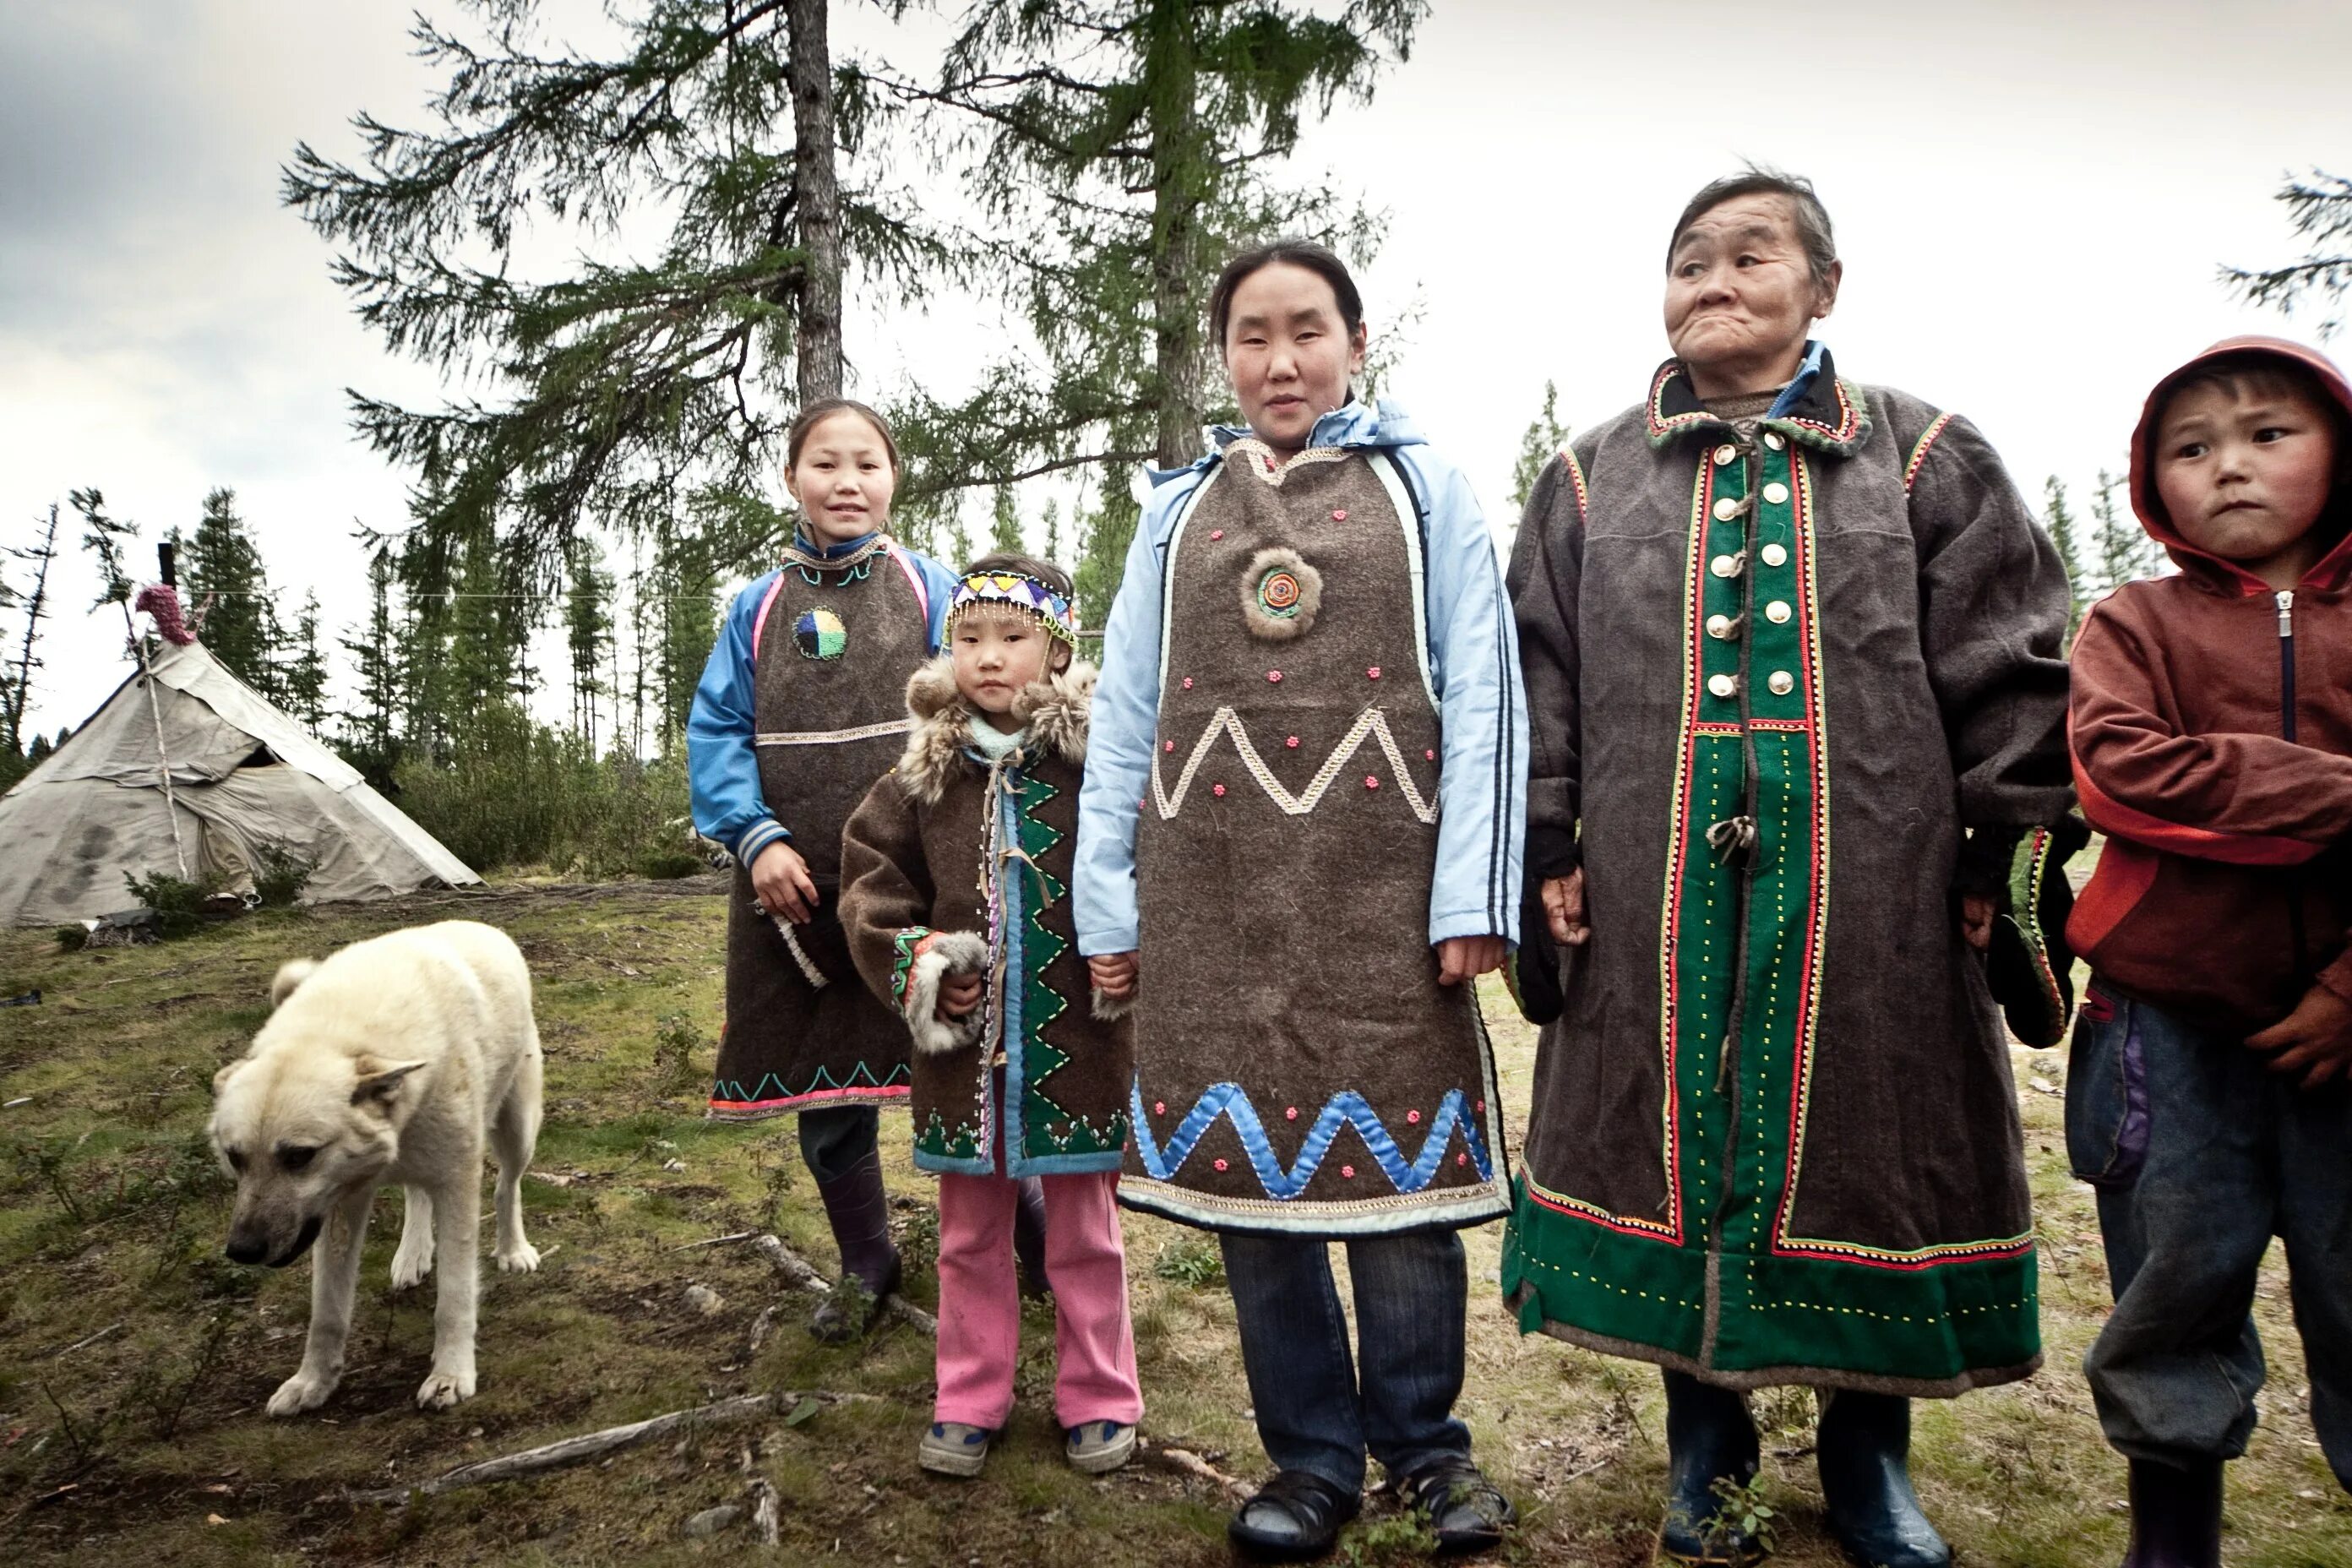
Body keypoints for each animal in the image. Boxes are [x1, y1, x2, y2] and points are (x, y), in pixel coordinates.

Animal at [204, 921, 543, 1419]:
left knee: (507, 1186)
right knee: (415, 1193)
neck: (337, 1034)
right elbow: (327, 1312)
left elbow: (455, 1296)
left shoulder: (456, 1185)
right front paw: (313, 1382)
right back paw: (412, 1255)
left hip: (517, 1129)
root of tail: (480, 926)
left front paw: (451, 1375)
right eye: (235, 1157)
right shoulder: (340, 1207)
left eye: (298, 1156)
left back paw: (513, 1249)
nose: (242, 1251)